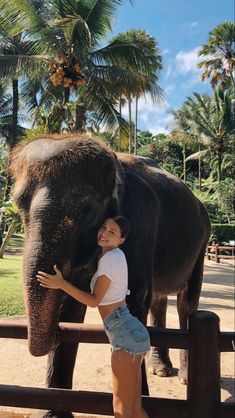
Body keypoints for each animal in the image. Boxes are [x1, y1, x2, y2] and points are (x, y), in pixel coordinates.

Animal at [10, 134, 210, 418]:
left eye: (85, 210)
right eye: (18, 205)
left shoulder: (142, 221)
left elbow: (135, 298)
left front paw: (140, 399)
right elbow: (71, 307)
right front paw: (54, 414)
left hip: (202, 242)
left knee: (186, 303)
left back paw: (183, 376)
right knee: (159, 299)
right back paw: (160, 369)